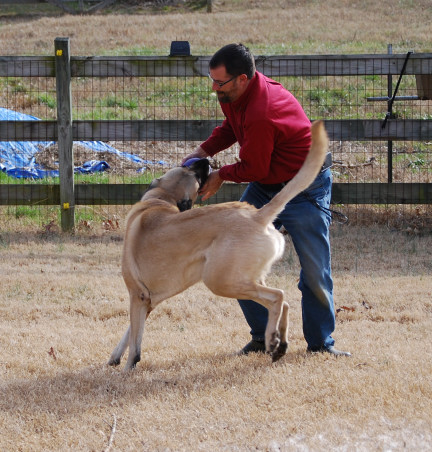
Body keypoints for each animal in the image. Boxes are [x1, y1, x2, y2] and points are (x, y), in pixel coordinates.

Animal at [108, 120, 328, 370]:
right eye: (190, 171)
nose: (205, 161)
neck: (162, 199)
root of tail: (257, 215)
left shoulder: (138, 296)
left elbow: (135, 342)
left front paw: (127, 368)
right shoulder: (148, 301)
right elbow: (130, 332)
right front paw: (114, 357)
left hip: (219, 281)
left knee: (277, 297)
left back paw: (272, 339)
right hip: (244, 278)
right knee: (286, 304)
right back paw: (280, 343)